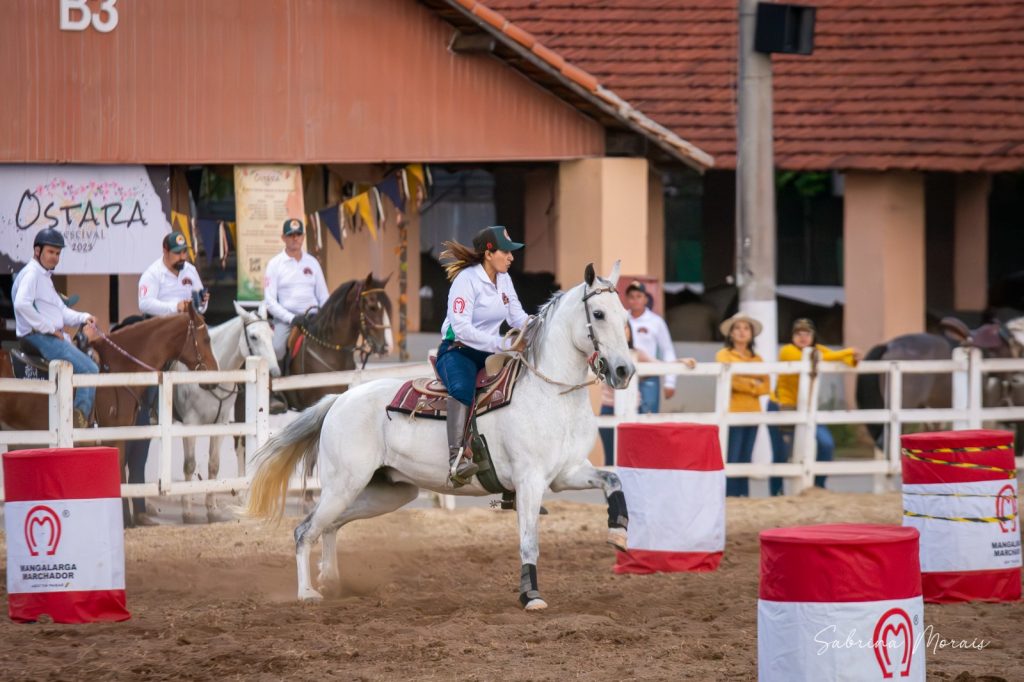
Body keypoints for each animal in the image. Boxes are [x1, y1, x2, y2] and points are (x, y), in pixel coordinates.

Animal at [176, 301, 280, 520]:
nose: (274, 372)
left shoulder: (221, 423)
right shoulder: (189, 424)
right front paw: (187, 511)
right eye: (253, 337)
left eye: (271, 334)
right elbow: (189, 465)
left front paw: (212, 508)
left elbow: (214, 465)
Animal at [245, 262, 630, 606]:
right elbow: (528, 541)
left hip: (385, 492)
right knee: (304, 530)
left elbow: (613, 479)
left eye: (624, 314)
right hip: (344, 485)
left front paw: (619, 532)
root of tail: (339, 399)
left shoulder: (567, 473)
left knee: (330, 526)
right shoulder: (529, 481)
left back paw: (332, 581)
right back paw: (307, 593)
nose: (624, 370)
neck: (549, 392)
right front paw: (530, 595)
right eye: (598, 313)